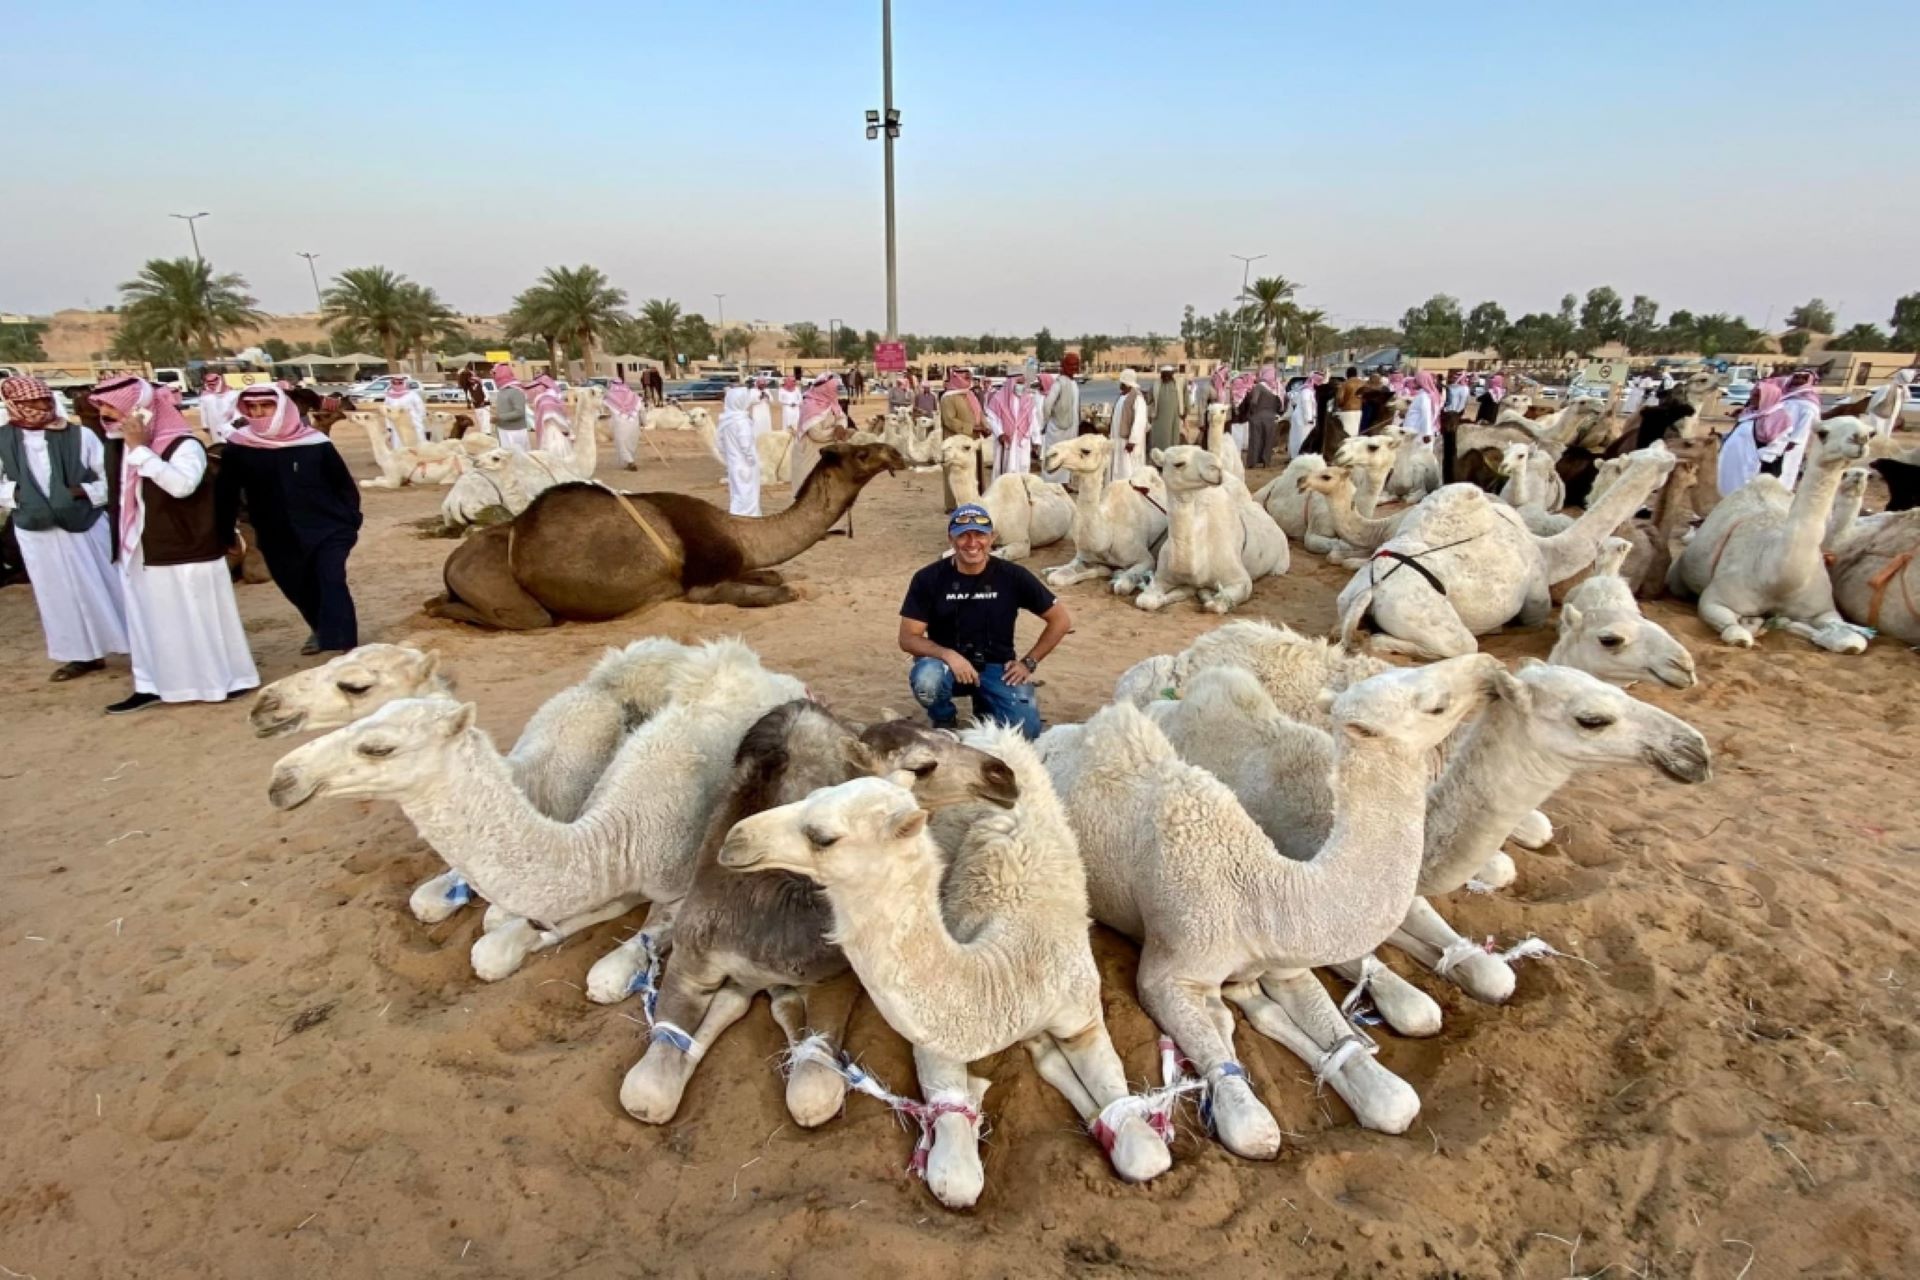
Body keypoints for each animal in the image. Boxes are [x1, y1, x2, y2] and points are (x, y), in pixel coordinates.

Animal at [428, 443, 906, 633]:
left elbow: (773, 576)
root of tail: (450, 562)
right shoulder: (701, 586)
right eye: (862, 452)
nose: (896, 453)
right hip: (502, 587)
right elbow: (781, 591)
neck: (736, 531)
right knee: (527, 616)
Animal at [718, 725, 1167, 1205]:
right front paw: (1023, 1064)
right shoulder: (938, 1040)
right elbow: (956, 1177)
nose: (735, 838)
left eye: (822, 836)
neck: (1012, 971)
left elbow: (1145, 1150)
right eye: (813, 794)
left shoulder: (1082, 1013)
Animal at [1036, 429, 1167, 591]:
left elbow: (1121, 586)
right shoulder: (1083, 555)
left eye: (1086, 450)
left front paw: (1116, 573)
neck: (1108, 532)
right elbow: (1057, 578)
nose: (1049, 456)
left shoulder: (1145, 558)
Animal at [1121, 449, 1290, 614]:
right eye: (1179, 463)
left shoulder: (1241, 581)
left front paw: (1208, 596)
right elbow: (1145, 601)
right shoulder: (1162, 578)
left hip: (1282, 559)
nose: (1217, 468)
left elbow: (1216, 605)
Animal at [1666, 418, 1873, 652]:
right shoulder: (1715, 600)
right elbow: (1737, 634)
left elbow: (1853, 642)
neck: (1778, 578)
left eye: (1870, 433)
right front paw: (1756, 624)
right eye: (1823, 432)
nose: (1860, 439)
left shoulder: (1824, 610)